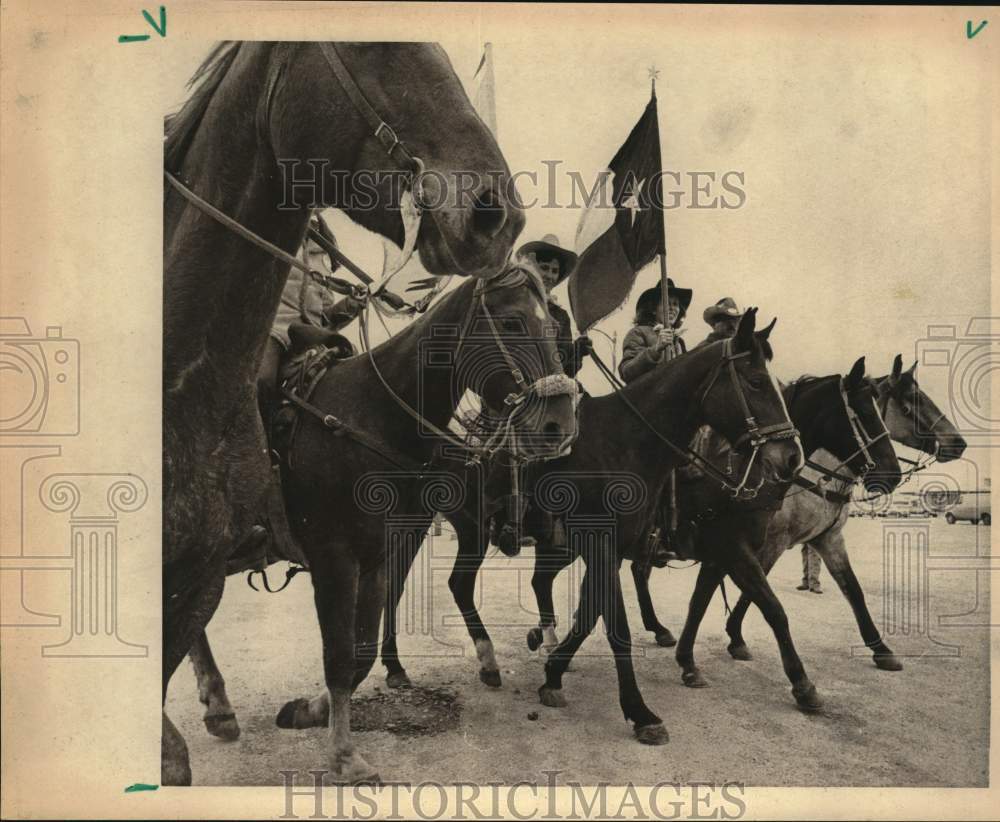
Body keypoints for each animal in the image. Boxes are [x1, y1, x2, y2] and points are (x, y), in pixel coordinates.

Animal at [162, 41, 524, 788]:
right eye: (515, 322)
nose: (493, 214)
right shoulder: (334, 554)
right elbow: (341, 650)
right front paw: (338, 745)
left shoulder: (381, 547)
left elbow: (357, 650)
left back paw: (216, 705)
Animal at [376, 310, 804, 748]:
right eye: (756, 381)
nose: (791, 457)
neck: (623, 443)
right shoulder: (613, 544)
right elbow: (616, 626)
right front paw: (640, 712)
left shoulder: (621, 550)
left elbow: (591, 613)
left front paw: (553, 674)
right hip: (450, 530)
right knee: (433, 586)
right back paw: (463, 661)